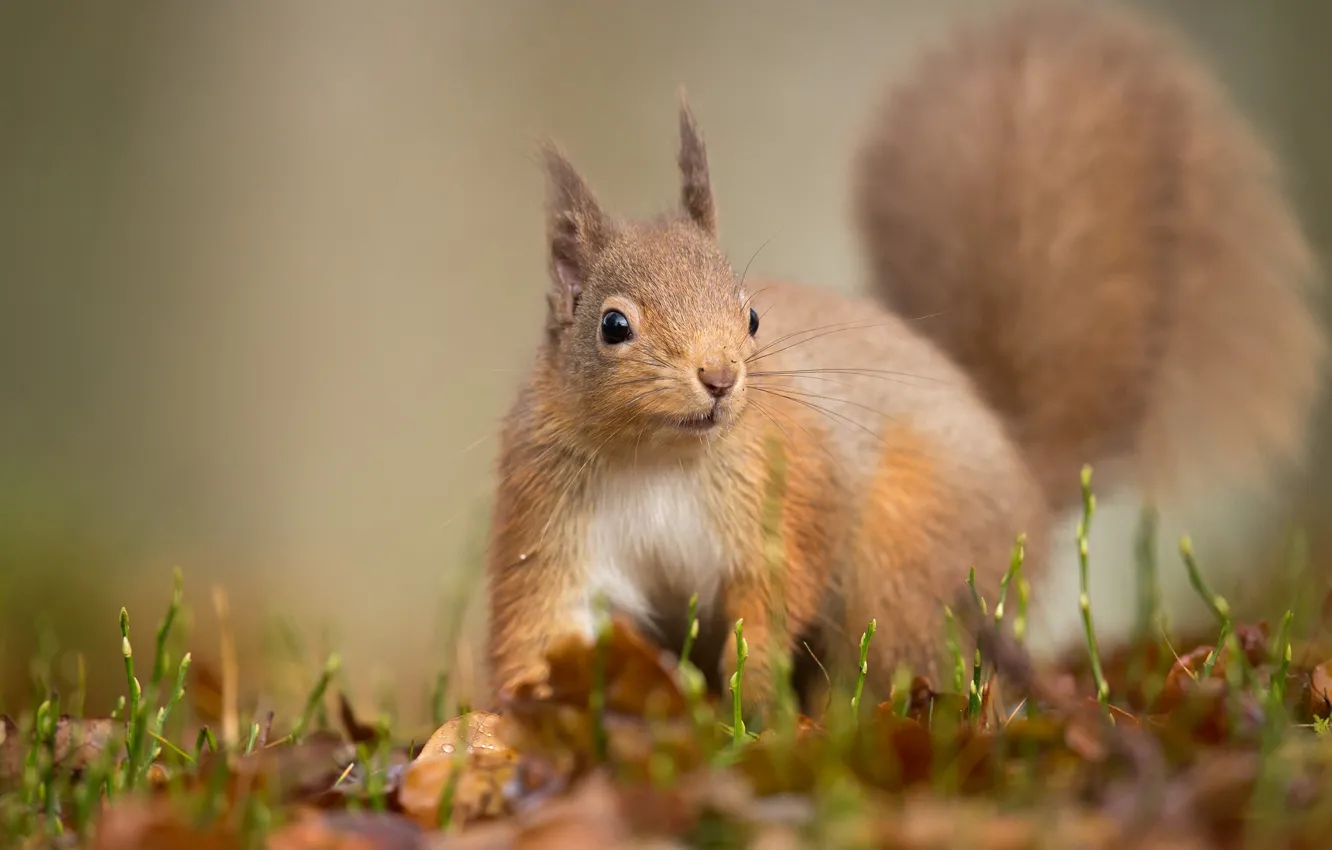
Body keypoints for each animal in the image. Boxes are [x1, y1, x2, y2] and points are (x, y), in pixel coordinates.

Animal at [483, 0, 1326, 712]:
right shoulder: (549, 517)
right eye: (613, 326)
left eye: (751, 316)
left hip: (906, 550)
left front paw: (753, 696)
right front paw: (510, 718)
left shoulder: (791, 490)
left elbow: (774, 595)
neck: (661, 456)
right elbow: (545, 622)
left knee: (906, 652)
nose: (720, 379)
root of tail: (1024, 481)